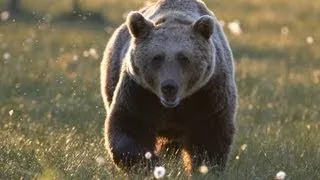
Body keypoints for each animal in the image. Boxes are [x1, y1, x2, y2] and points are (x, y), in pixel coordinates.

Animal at [100, 0, 238, 176]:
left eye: (184, 57)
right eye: (157, 57)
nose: (169, 86)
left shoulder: (207, 94)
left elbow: (209, 135)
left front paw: (205, 168)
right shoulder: (139, 92)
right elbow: (130, 126)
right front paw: (149, 165)